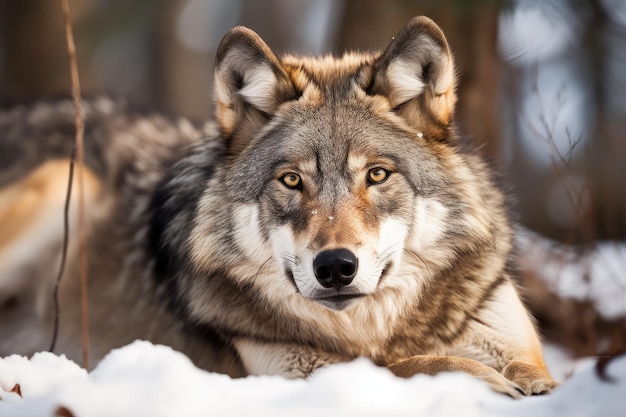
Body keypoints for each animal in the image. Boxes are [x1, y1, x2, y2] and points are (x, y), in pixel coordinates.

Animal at [0, 17, 556, 396]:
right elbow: (408, 366)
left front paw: (536, 389)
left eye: (376, 175)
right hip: (65, 179)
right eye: (291, 180)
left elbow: (528, 369)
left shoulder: (509, 337)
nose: (335, 267)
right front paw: (481, 381)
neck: (375, 332)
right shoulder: (287, 373)